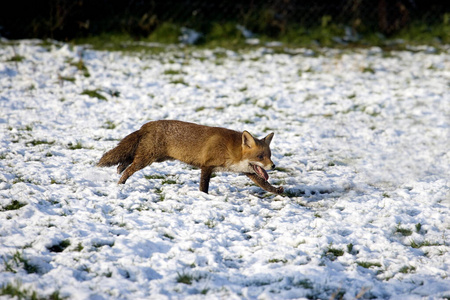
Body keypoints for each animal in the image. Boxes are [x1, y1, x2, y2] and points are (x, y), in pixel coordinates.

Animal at [97, 119, 284, 195]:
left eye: (269, 156)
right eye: (260, 156)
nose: (273, 166)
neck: (231, 150)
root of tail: (147, 124)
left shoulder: (248, 171)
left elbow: (264, 184)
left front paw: (277, 191)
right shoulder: (206, 166)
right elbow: (203, 187)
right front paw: (204, 198)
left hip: (154, 157)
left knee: (126, 160)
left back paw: (119, 169)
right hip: (148, 158)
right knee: (129, 168)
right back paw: (120, 183)